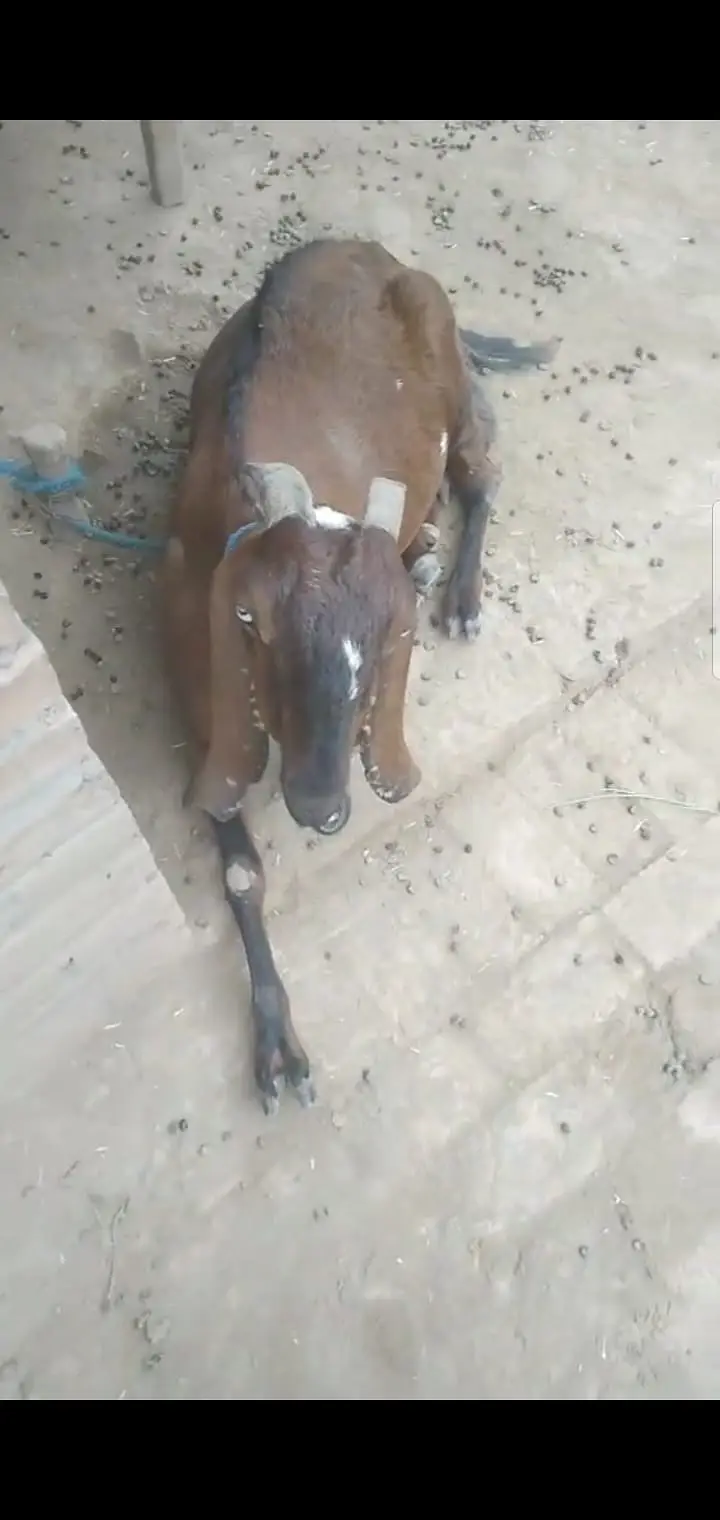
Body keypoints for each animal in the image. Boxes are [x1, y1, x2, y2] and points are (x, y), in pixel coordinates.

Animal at [159, 237, 558, 1112]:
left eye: (383, 650)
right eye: (256, 631)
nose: (321, 808)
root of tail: (364, 250)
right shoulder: (200, 700)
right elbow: (239, 867)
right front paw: (278, 1044)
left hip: (452, 379)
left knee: (481, 472)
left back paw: (459, 590)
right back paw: (427, 550)